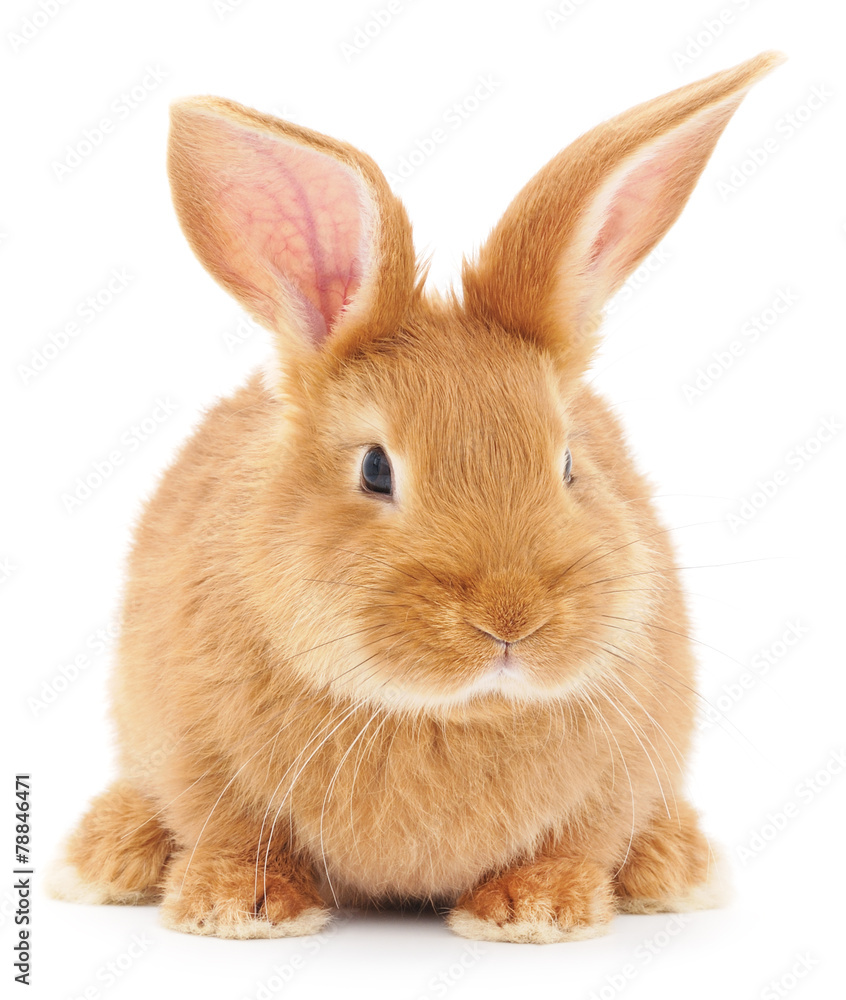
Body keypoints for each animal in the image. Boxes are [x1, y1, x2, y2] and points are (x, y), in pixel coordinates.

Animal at [47, 51, 783, 944]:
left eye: (569, 462)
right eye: (375, 469)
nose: (510, 617)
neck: (448, 712)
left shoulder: (623, 768)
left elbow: (580, 838)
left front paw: (535, 910)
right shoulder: (192, 751)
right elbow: (233, 830)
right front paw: (240, 907)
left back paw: (676, 865)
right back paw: (105, 853)